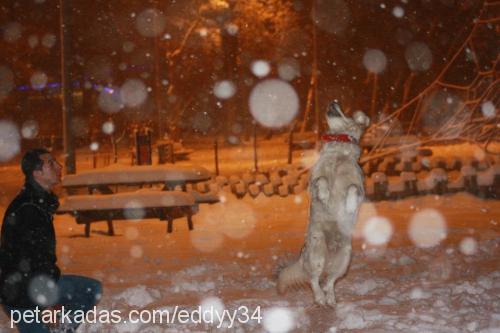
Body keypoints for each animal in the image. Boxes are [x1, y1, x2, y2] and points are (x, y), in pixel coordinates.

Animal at [278, 101, 372, 306]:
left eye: (345, 108)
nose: (333, 101)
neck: (339, 152)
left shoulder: (360, 186)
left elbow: (353, 188)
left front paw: (350, 205)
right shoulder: (312, 182)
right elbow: (321, 180)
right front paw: (325, 194)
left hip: (344, 259)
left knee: (330, 280)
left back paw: (330, 298)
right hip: (317, 253)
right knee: (314, 279)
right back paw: (320, 297)